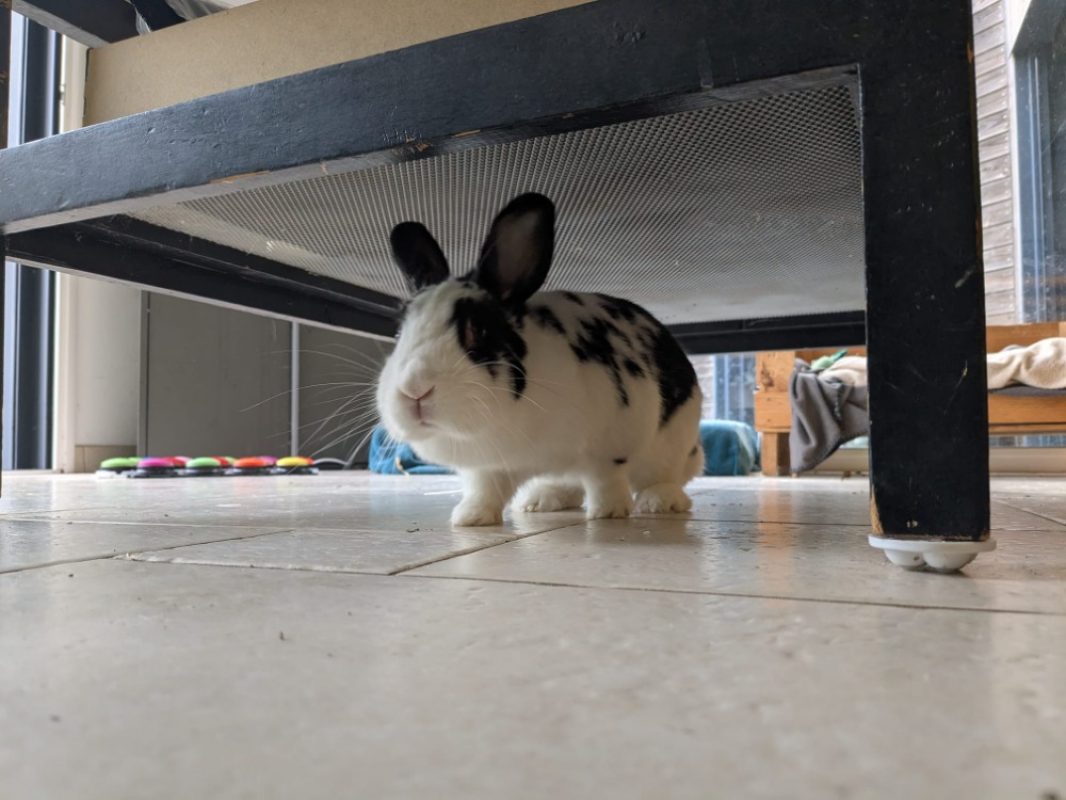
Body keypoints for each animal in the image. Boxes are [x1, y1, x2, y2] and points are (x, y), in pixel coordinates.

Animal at [376, 192, 704, 527]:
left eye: (479, 331)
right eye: (399, 332)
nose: (414, 390)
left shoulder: (611, 445)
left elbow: (605, 480)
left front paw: (608, 512)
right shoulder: (489, 468)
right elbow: (485, 489)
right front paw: (470, 517)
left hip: (671, 447)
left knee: (666, 477)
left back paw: (659, 501)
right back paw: (539, 500)